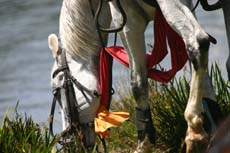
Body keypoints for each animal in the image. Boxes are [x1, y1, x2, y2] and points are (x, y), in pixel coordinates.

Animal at [47, 0, 217, 152]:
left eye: (56, 92)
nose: (69, 143)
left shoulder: (126, 19)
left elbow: (137, 83)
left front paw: (144, 143)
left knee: (197, 42)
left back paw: (193, 128)